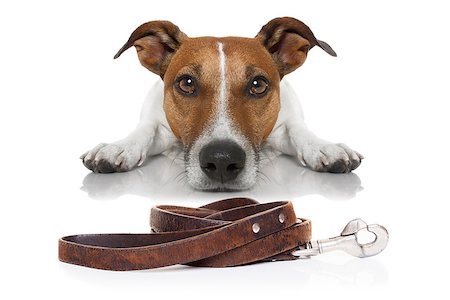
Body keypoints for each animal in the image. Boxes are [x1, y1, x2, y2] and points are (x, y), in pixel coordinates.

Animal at [81, 17, 362, 190]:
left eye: (258, 85)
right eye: (187, 83)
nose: (222, 161)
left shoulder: (287, 122)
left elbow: (298, 129)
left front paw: (324, 148)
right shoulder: (157, 123)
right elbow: (145, 129)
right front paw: (119, 147)